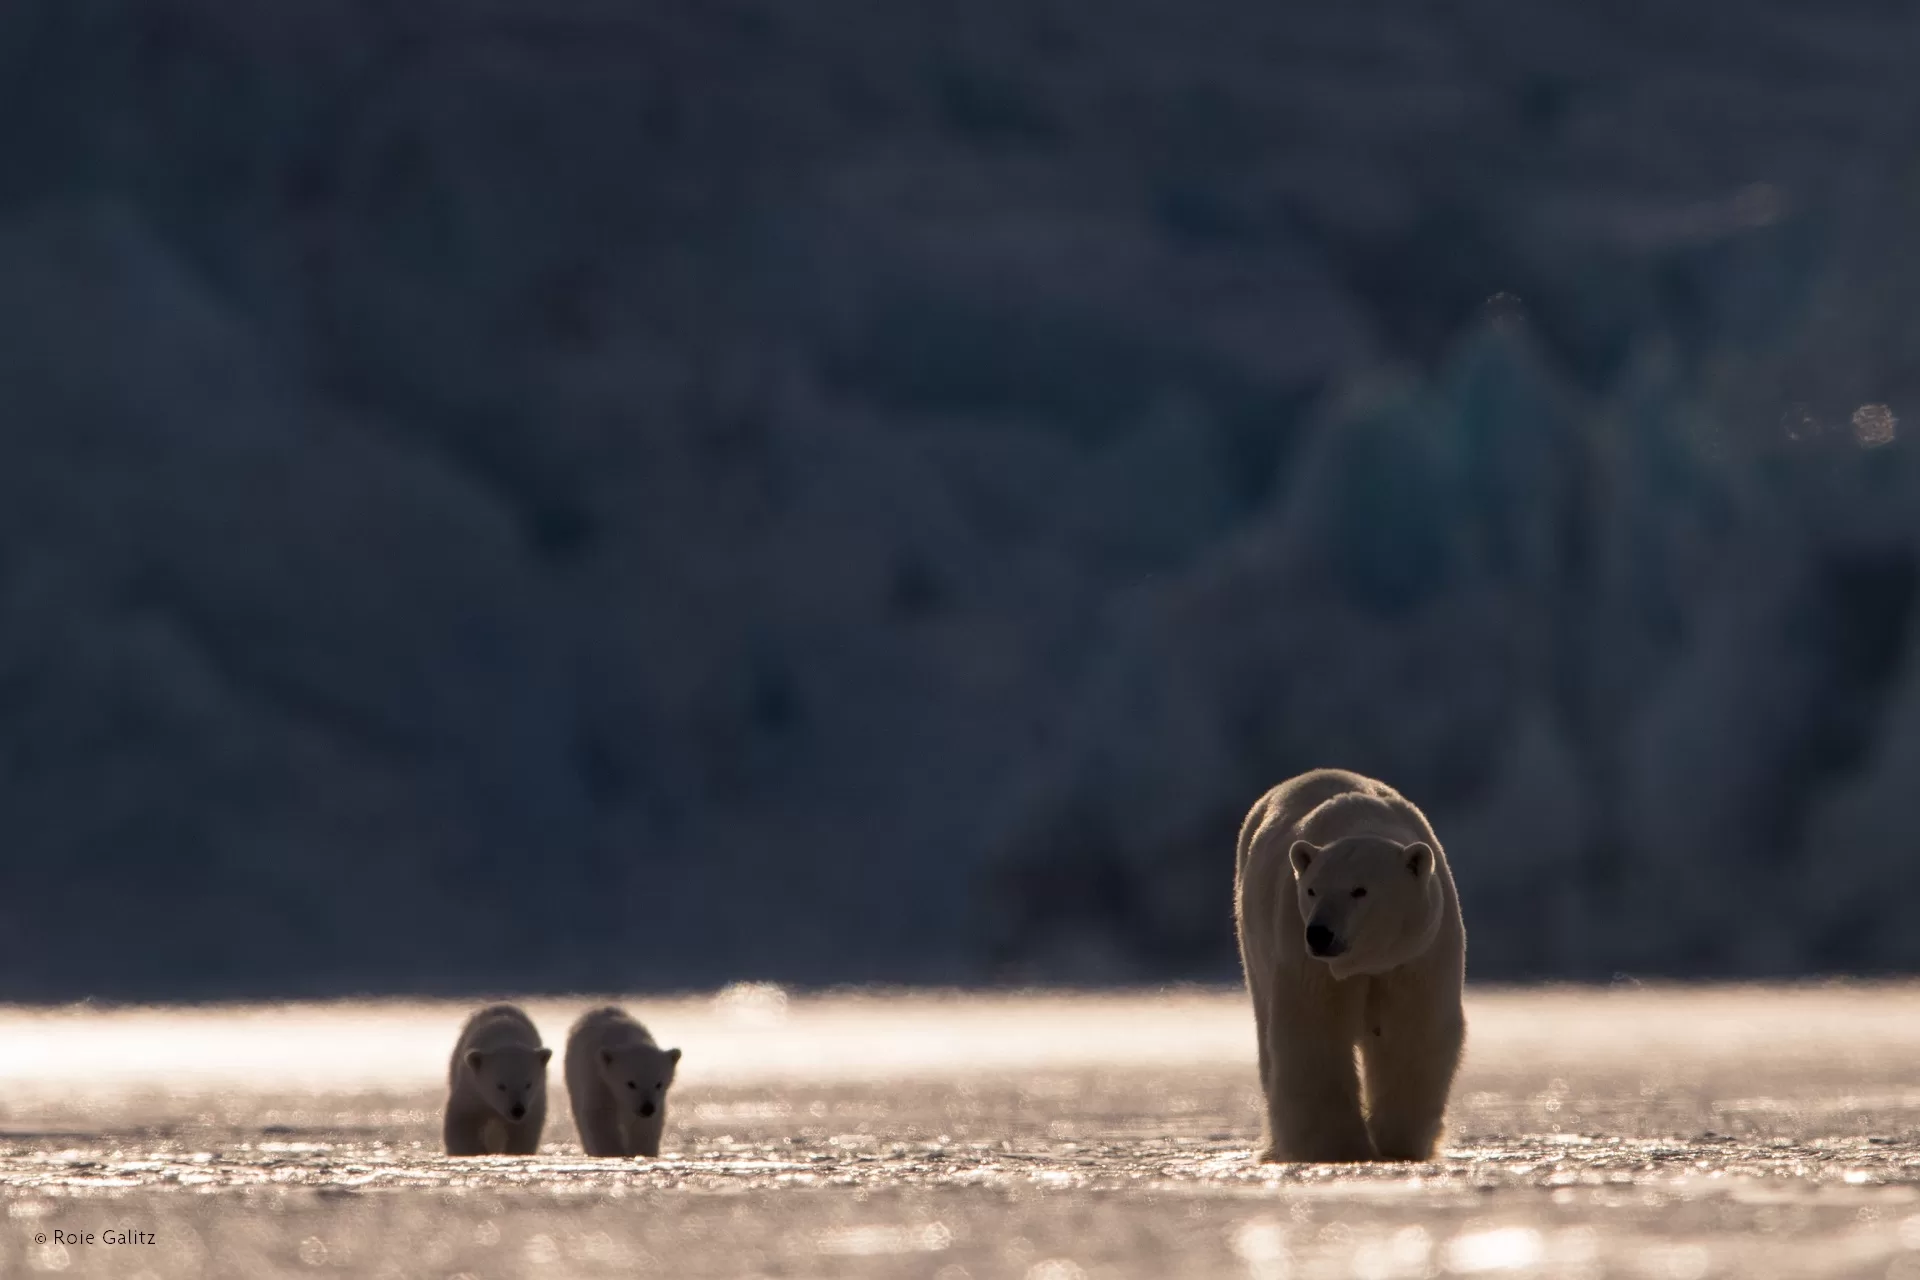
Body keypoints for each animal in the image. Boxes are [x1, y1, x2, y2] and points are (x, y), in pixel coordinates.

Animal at [443, 1003, 552, 1156]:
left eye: (528, 1084)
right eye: (501, 1085)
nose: (517, 1110)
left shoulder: (534, 1101)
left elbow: (524, 1132)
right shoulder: (471, 1090)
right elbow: (462, 1123)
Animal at [564, 1005, 682, 1157]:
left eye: (659, 1084)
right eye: (630, 1083)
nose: (647, 1108)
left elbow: (643, 1126)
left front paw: (643, 1152)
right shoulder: (597, 1079)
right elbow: (601, 1116)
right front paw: (612, 1152)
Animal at [1233, 768, 1465, 1163]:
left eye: (1360, 890)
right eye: (1312, 890)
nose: (1319, 933)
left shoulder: (1418, 955)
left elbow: (1411, 1032)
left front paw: (1398, 1141)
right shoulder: (1304, 955)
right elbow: (1315, 1031)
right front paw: (1339, 1147)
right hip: (1253, 939)